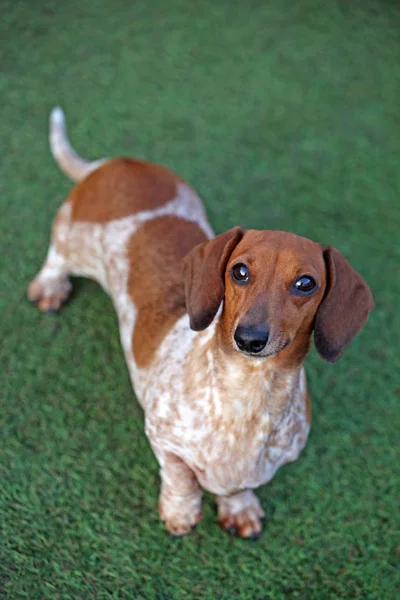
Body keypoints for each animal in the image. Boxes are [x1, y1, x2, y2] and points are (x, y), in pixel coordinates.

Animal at [28, 108, 376, 540]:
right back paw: (49, 287)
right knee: (56, 256)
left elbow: (239, 486)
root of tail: (112, 164)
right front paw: (180, 513)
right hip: (73, 239)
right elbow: (180, 479)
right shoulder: (162, 438)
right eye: (239, 272)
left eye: (306, 283)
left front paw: (239, 509)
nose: (250, 338)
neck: (248, 393)